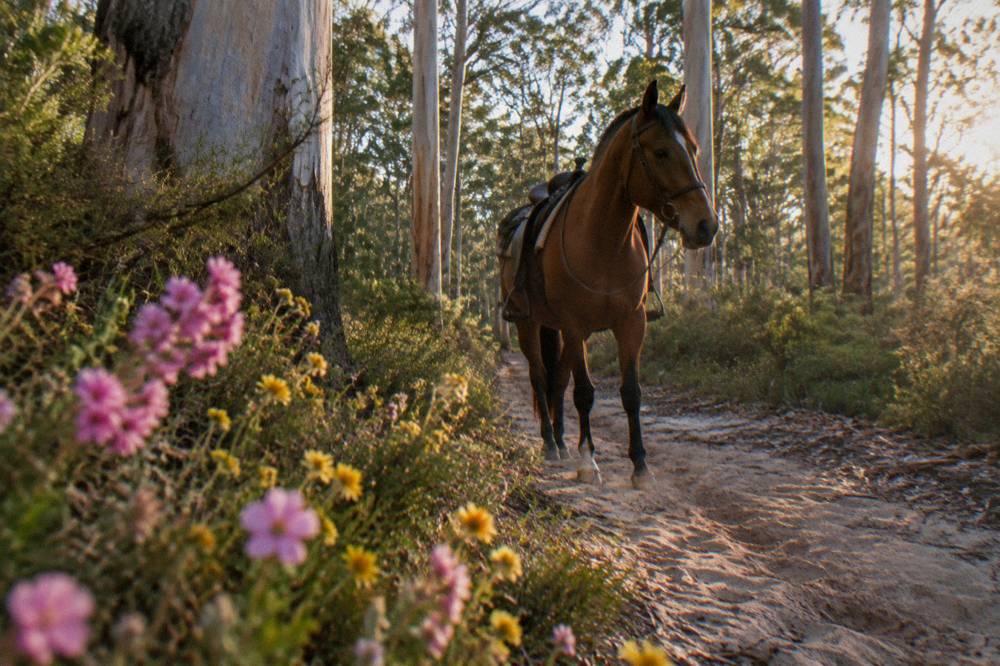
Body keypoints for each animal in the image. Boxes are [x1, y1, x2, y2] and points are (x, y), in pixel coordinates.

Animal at [499, 80, 718, 489]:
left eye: (695, 149)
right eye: (661, 151)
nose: (706, 225)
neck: (603, 239)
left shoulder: (631, 322)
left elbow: (630, 392)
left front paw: (640, 465)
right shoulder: (574, 324)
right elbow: (585, 392)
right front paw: (589, 461)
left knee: (557, 381)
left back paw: (562, 441)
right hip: (529, 324)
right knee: (539, 376)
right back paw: (551, 443)